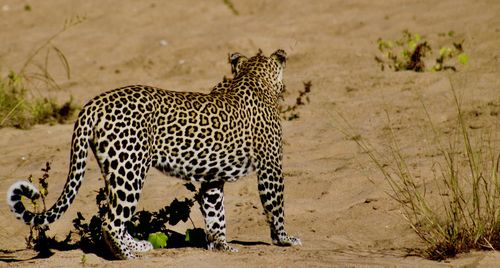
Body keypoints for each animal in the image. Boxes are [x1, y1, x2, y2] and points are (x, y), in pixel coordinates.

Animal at [6, 48, 300, 260]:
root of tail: (93, 104)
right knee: (110, 221)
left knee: (113, 215)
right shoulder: (271, 166)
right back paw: (127, 256)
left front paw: (221, 246)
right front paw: (284, 239)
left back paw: (139, 246)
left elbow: (215, 213)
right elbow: (276, 205)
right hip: (130, 168)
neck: (252, 78)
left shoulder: (212, 179)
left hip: (114, 167)